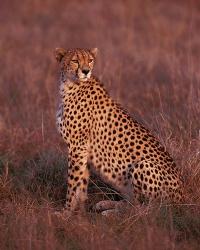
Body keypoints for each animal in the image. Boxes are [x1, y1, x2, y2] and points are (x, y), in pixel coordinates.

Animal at [54, 47, 184, 216]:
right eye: (75, 60)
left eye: (90, 60)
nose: (86, 71)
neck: (70, 85)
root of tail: (182, 197)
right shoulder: (83, 150)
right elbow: (81, 183)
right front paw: (79, 209)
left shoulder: (78, 146)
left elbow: (73, 183)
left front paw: (66, 212)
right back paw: (105, 204)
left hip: (143, 165)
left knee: (145, 209)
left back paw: (110, 212)